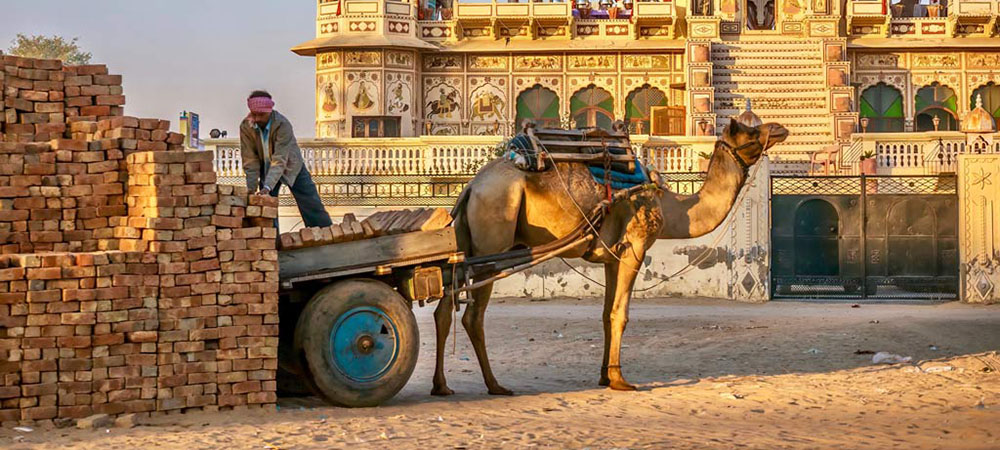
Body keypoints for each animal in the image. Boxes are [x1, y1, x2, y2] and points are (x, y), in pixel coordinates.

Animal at [430, 118, 788, 396]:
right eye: (748, 131)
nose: (780, 129)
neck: (670, 205)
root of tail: (470, 188)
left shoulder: (611, 257)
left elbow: (605, 315)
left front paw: (604, 375)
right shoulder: (635, 247)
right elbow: (620, 314)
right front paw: (619, 379)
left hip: (466, 244)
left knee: (444, 308)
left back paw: (442, 385)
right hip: (492, 244)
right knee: (472, 316)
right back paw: (495, 385)